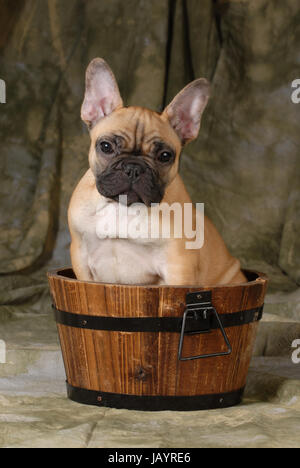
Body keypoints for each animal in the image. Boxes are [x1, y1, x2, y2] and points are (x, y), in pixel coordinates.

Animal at [68, 58, 246, 286]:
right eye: (106, 146)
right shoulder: (80, 257)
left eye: (165, 156)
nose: (133, 168)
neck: (123, 207)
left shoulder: (178, 265)